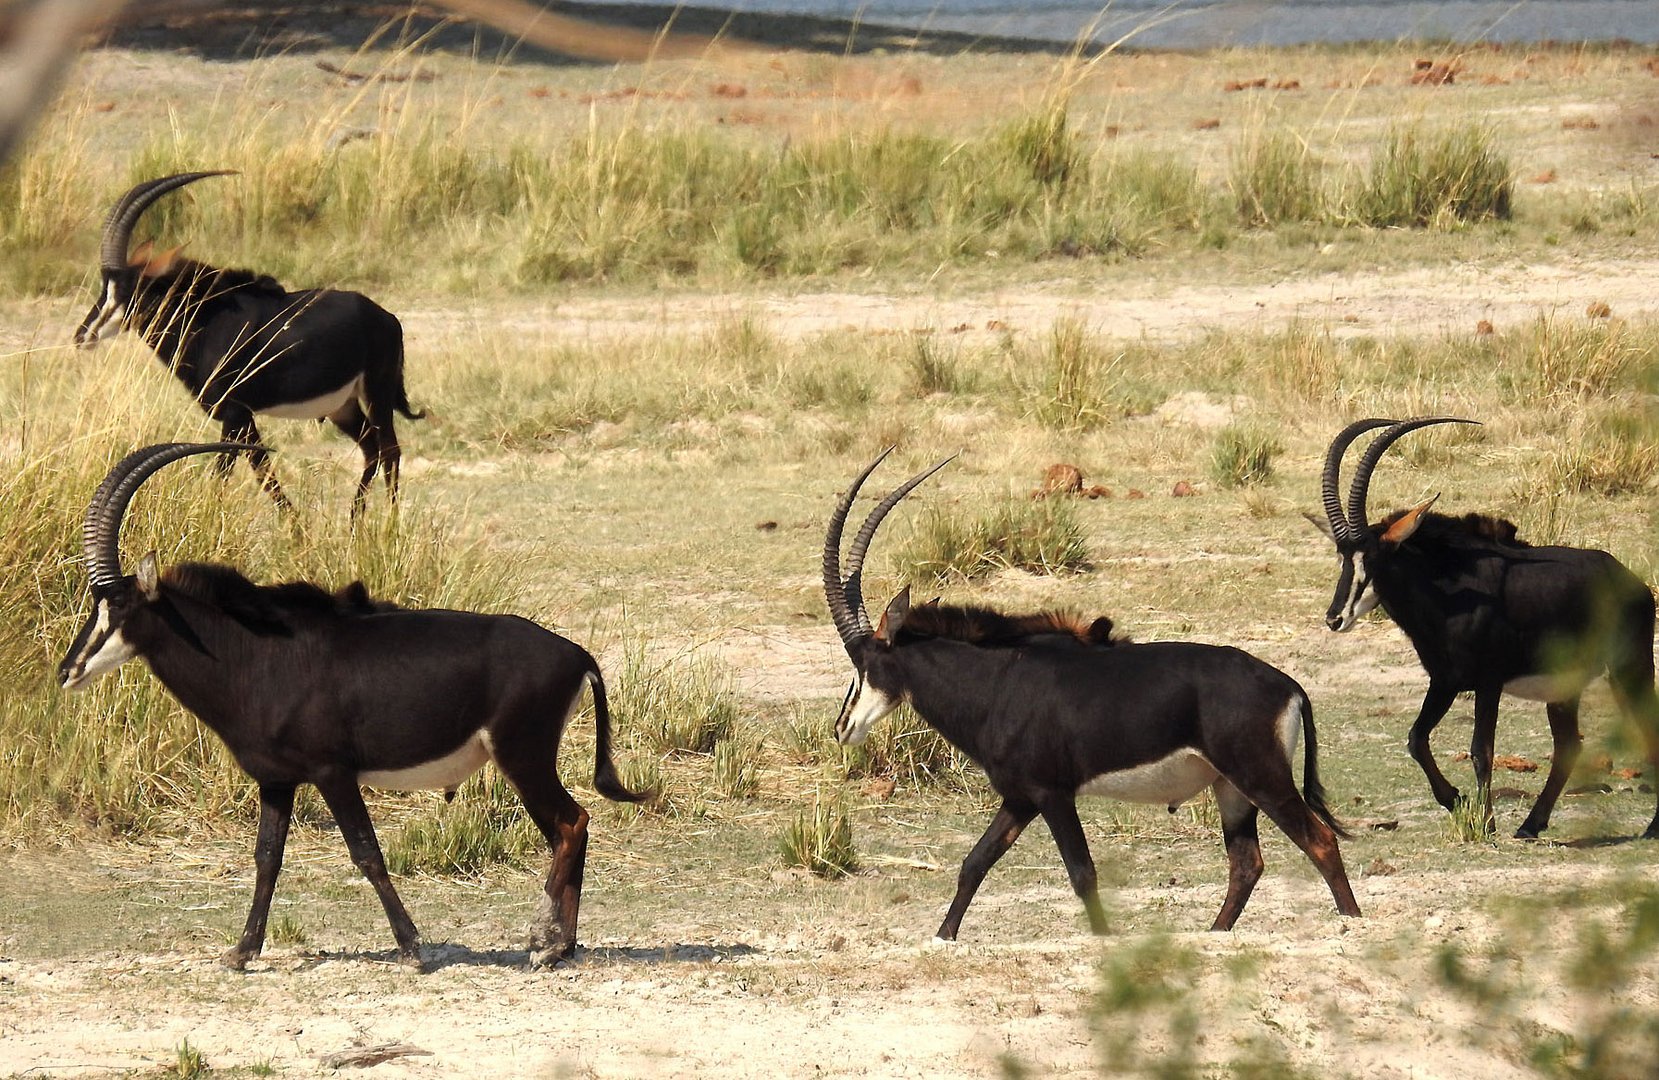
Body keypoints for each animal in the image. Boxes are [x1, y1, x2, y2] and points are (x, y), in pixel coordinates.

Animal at [58, 444, 643, 968]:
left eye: (120, 607)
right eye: (95, 604)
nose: (67, 671)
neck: (254, 653)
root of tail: (576, 654)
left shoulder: (332, 772)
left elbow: (366, 852)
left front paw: (412, 949)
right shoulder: (277, 780)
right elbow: (266, 858)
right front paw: (242, 952)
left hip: (523, 756)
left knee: (571, 824)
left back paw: (542, 942)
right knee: (570, 828)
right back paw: (562, 946)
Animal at [76, 170, 421, 517]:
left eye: (128, 290)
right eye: (104, 285)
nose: (83, 335)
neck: (204, 321)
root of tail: (387, 318)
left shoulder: (235, 414)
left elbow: (236, 473)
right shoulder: (243, 418)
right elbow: (262, 468)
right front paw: (296, 525)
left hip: (377, 394)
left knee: (390, 451)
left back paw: (389, 523)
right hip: (343, 406)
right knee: (371, 450)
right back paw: (354, 521)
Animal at [819, 451, 1360, 942]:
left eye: (863, 664)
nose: (843, 727)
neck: (998, 681)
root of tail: (1289, 686)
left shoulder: (1051, 794)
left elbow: (1082, 874)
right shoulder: (1019, 798)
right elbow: (975, 863)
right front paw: (943, 936)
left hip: (1261, 777)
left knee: (1319, 840)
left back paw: (1351, 922)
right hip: (1230, 790)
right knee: (1247, 863)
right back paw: (1216, 933)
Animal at [1313, 418, 1652, 839]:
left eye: (1373, 558)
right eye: (1343, 557)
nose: (1335, 618)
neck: (1449, 594)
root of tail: (1635, 584)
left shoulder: (1488, 683)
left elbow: (1481, 750)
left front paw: (1486, 823)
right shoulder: (1445, 681)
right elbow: (1416, 739)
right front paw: (1455, 800)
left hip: (1629, 670)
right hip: (1565, 688)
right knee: (1568, 747)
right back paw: (1530, 825)